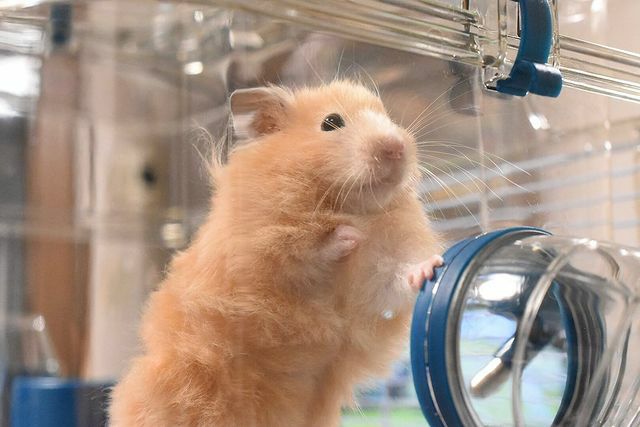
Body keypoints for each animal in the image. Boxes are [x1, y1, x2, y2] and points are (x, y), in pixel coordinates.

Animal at [109, 80, 443, 427]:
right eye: (331, 122)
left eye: (388, 117)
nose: (396, 147)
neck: (346, 203)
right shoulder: (263, 254)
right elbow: (308, 252)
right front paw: (350, 235)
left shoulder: (375, 284)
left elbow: (395, 281)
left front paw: (430, 266)